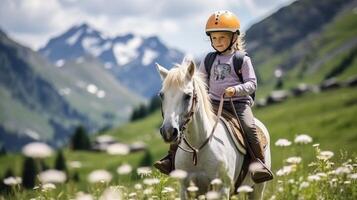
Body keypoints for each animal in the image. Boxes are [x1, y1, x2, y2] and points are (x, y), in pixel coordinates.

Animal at [156, 58, 270, 199]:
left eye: (187, 95)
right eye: (162, 95)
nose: (168, 132)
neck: (197, 148)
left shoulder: (222, 190)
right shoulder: (185, 189)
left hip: (257, 189)